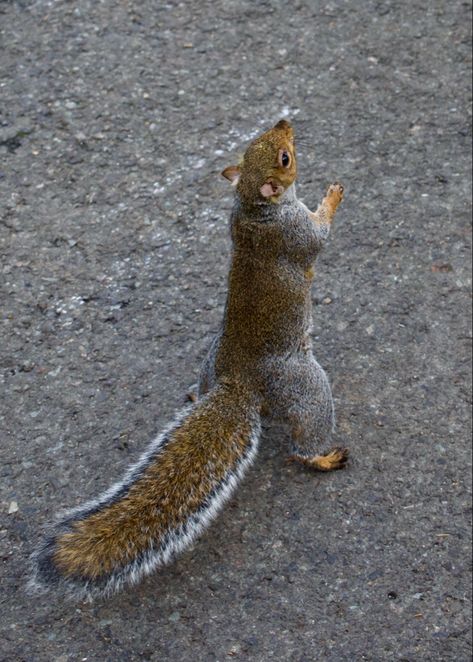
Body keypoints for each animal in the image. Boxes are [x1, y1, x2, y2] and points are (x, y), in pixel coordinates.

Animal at [29, 118, 346, 600]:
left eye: (259, 142)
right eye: (284, 157)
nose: (285, 123)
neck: (254, 207)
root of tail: (237, 382)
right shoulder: (295, 233)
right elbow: (319, 235)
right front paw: (332, 196)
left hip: (211, 360)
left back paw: (197, 396)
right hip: (303, 383)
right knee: (303, 439)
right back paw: (321, 457)